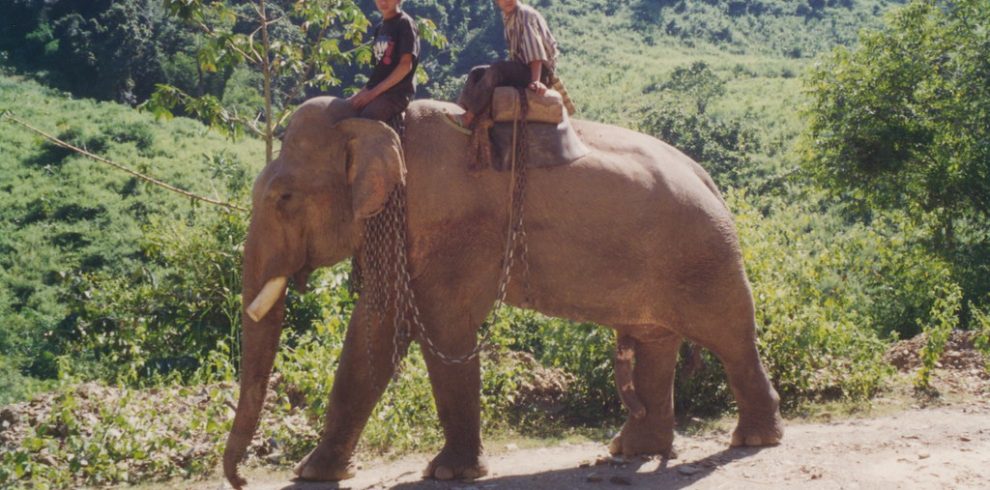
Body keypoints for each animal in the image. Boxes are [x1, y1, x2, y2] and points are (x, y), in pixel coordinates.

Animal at [223, 96, 784, 490]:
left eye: (284, 198)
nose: (242, 479)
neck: (374, 118)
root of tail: (709, 178)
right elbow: (374, 333)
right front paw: (312, 474)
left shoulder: (453, 232)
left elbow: (442, 329)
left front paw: (449, 474)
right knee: (655, 343)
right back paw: (630, 451)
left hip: (707, 256)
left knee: (733, 339)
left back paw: (754, 439)